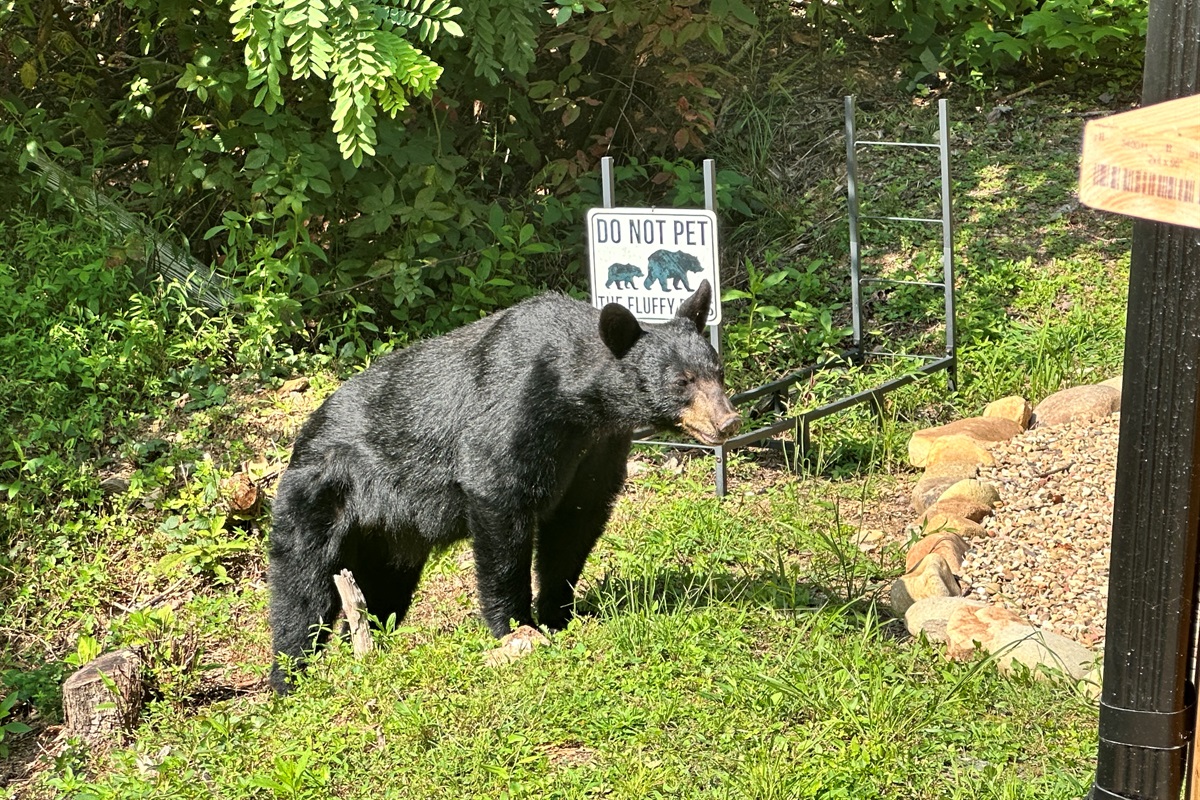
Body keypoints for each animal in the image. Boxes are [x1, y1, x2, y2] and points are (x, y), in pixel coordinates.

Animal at [268, 280, 739, 692]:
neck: (578, 403)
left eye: (717, 372)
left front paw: (560, 612)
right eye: (681, 381)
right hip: (320, 497)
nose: (728, 421)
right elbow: (501, 507)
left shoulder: (595, 450)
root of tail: (303, 437)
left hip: (387, 536)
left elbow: (575, 524)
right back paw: (288, 676)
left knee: (384, 586)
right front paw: (515, 625)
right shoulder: (514, 413)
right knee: (302, 589)